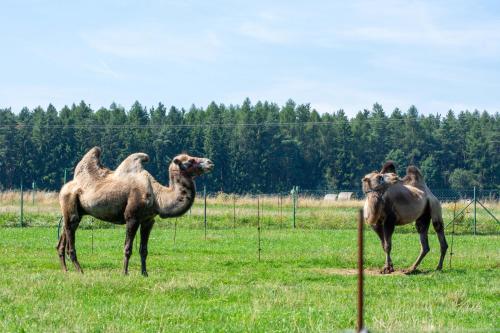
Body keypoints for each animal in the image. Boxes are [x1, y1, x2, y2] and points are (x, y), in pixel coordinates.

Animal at [57, 146, 214, 274]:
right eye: (190, 161)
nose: (210, 162)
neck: (157, 196)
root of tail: (64, 187)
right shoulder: (132, 218)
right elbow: (128, 248)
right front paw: (124, 273)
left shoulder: (148, 220)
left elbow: (143, 250)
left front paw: (144, 273)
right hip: (69, 202)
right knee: (70, 238)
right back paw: (80, 271)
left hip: (75, 212)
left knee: (63, 237)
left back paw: (65, 270)